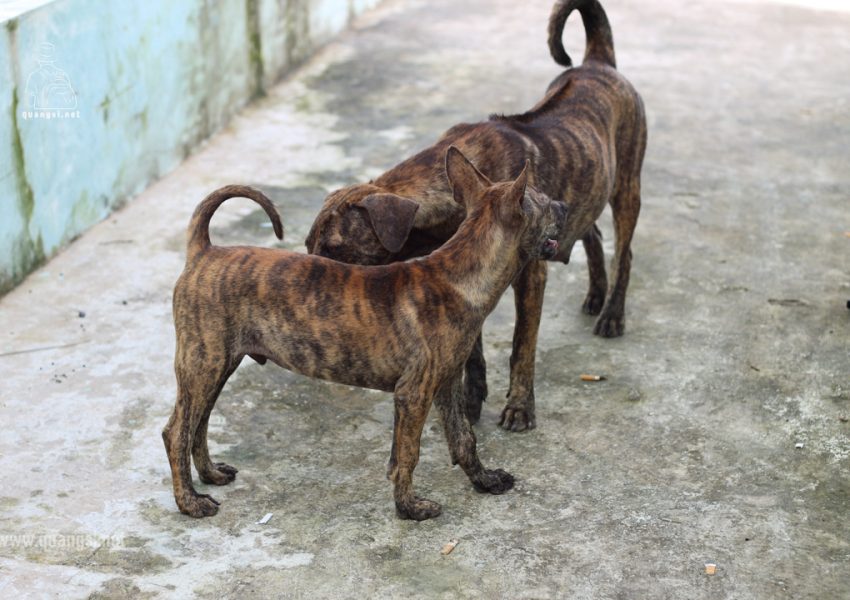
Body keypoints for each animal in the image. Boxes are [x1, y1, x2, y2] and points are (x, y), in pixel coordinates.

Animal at [163, 146, 568, 520]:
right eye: (544, 202)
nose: (564, 206)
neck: (458, 275)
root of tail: (204, 250)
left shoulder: (447, 382)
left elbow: (463, 438)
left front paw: (484, 480)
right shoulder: (413, 393)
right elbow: (407, 454)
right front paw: (410, 507)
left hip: (218, 364)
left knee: (199, 424)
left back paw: (211, 475)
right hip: (203, 363)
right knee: (176, 431)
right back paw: (190, 502)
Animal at [304, 0, 644, 432]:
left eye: (335, 250)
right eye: (307, 245)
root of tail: (597, 62)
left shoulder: (530, 277)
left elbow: (521, 345)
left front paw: (519, 406)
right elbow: (473, 349)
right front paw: (471, 398)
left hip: (627, 186)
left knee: (625, 250)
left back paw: (613, 313)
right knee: (593, 233)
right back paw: (596, 294)